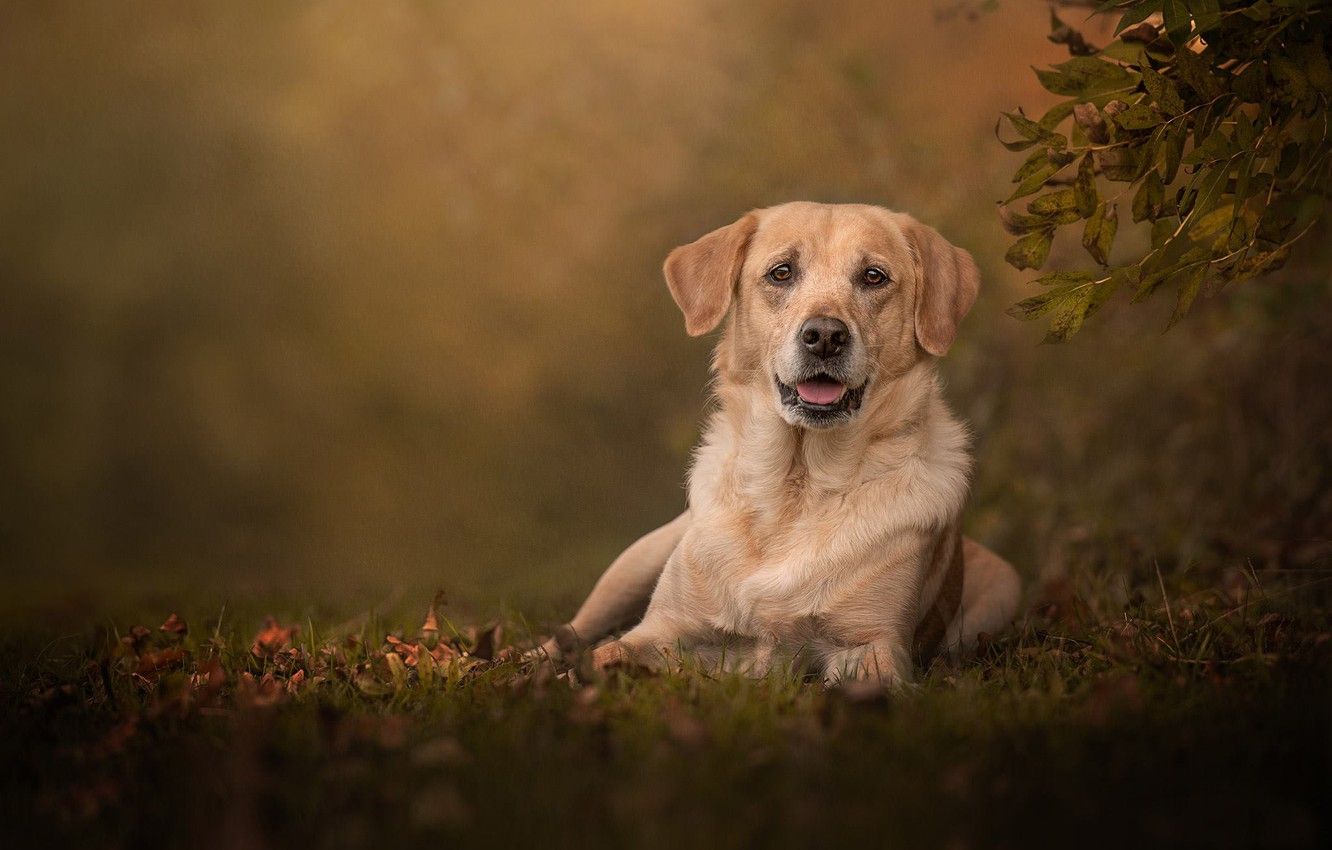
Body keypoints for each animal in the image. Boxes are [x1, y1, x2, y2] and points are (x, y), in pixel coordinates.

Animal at [540, 202, 1017, 687]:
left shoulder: (872, 644)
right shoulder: (662, 629)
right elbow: (601, 655)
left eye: (874, 276)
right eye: (781, 273)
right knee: (571, 633)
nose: (825, 336)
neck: (796, 486)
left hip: (1002, 591)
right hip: (636, 563)